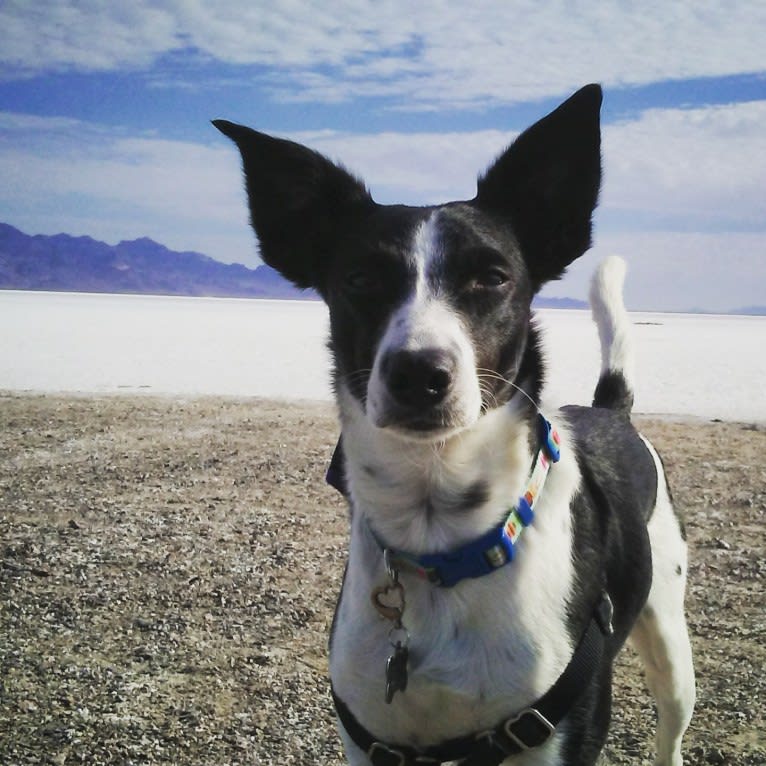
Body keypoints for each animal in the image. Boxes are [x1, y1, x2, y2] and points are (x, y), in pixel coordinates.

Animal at [214, 84, 696, 766]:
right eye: (360, 278)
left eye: (491, 277)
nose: (419, 372)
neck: (442, 547)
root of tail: (610, 407)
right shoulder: (371, 741)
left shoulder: (560, 733)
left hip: (670, 642)